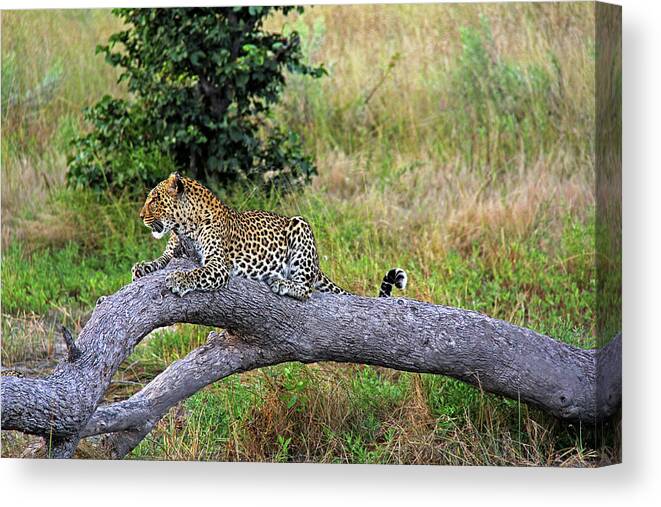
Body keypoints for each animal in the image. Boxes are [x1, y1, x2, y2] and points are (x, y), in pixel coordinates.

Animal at [131, 175, 404, 302]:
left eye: (154, 200)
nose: (140, 216)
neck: (183, 227)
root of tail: (317, 265)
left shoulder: (218, 266)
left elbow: (198, 272)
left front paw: (179, 278)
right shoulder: (174, 250)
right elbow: (162, 259)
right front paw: (142, 267)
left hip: (301, 227)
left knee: (307, 289)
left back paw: (282, 283)